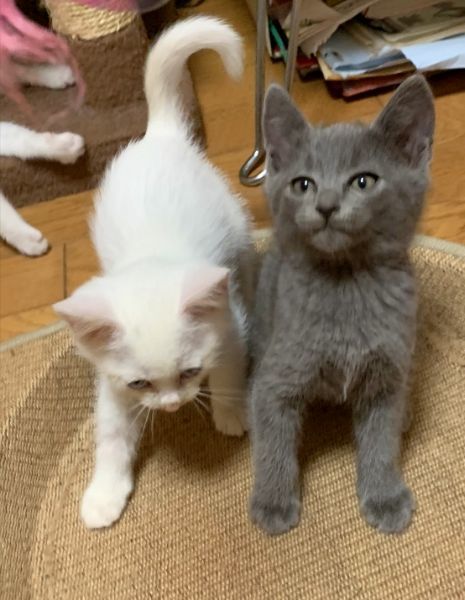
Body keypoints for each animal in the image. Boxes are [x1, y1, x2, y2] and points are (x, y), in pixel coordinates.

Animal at [53, 16, 254, 530]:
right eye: (140, 384)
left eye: (191, 371)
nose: (172, 405)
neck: (151, 260)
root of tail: (159, 134)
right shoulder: (110, 381)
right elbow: (110, 435)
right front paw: (104, 493)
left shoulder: (229, 325)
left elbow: (230, 370)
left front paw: (229, 413)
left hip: (237, 225)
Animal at [249, 75, 435, 536]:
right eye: (303, 184)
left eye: (363, 181)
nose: (327, 206)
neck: (346, 282)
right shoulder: (277, 375)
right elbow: (272, 435)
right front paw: (273, 500)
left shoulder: (388, 373)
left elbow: (382, 439)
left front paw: (385, 496)